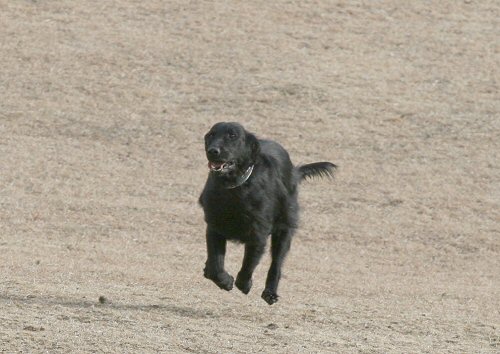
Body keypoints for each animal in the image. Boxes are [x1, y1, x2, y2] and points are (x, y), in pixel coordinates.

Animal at [199, 122, 336, 304]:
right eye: (211, 135)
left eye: (233, 136)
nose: (213, 151)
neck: (236, 189)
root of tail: (294, 171)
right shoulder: (215, 227)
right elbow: (216, 265)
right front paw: (225, 280)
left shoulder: (258, 234)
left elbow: (248, 265)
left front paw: (244, 284)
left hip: (284, 229)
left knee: (276, 265)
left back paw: (270, 293)